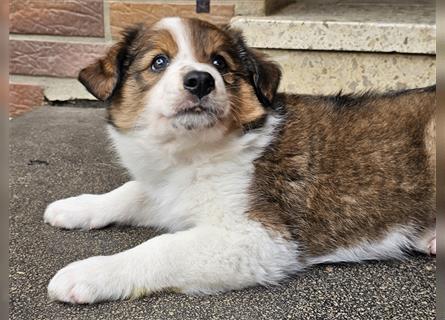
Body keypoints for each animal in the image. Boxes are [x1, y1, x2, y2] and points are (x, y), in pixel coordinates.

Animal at [44, 16, 434, 304]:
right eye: (158, 62)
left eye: (219, 62)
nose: (201, 80)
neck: (194, 152)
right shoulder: (164, 190)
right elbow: (131, 191)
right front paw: (76, 207)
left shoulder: (259, 238)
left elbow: (161, 247)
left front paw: (89, 273)